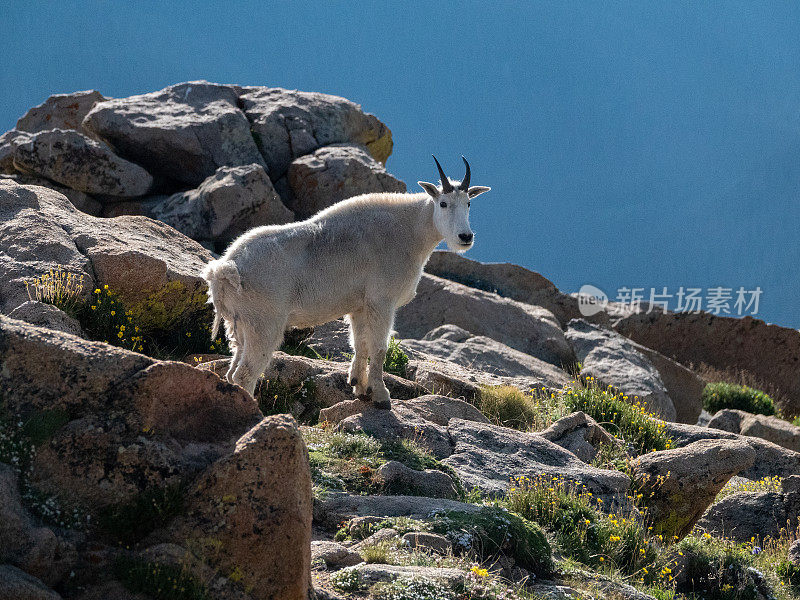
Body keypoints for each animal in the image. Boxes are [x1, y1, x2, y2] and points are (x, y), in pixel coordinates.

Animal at [203, 156, 490, 408]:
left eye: (468, 203)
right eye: (443, 203)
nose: (465, 237)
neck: (409, 231)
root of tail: (226, 268)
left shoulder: (360, 306)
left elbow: (360, 344)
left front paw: (359, 387)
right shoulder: (382, 301)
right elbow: (379, 348)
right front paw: (381, 397)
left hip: (239, 324)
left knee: (232, 371)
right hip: (263, 323)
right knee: (245, 374)